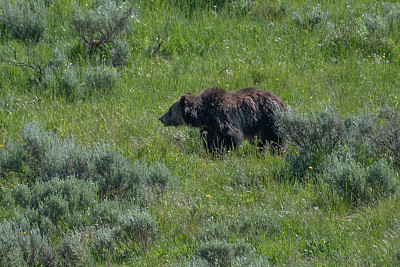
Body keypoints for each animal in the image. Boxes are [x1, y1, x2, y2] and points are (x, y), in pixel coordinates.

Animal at [158, 87, 286, 154]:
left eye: (170, 110)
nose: (161, 118)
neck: (205, 115)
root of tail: (280, 101)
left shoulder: (222, 118)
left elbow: (232, 135)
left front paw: (224, 152)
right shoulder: (210, 128)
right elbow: (209, 141)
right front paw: (212, 151)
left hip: (268, 119)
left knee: (276, 138)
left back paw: (277, 152)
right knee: (261, 141)